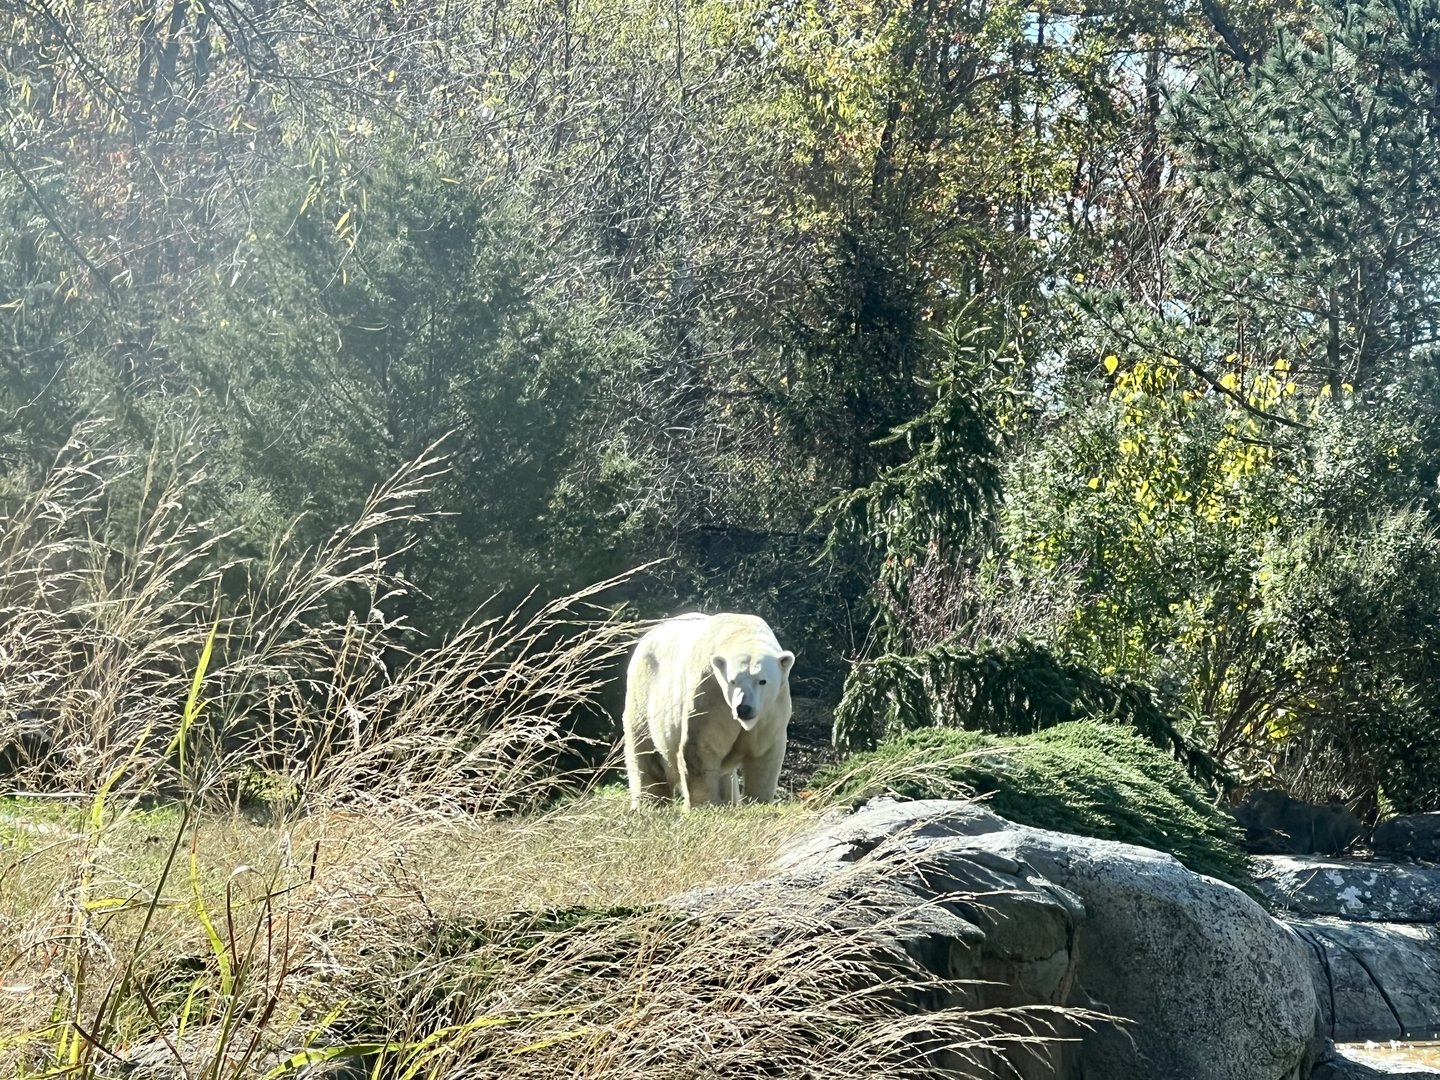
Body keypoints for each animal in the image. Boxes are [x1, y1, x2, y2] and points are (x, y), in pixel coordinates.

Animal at [622, 612, 794, 810]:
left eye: (762, 681)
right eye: (732, 680)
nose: (743, 708)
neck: (740, 631)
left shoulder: (772, 709)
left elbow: (763, 755)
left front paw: (759, 801)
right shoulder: (710, 691)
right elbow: (701, 748)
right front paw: (703, 806)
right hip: (644, 693)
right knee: (644, 751)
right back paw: (650, 803)